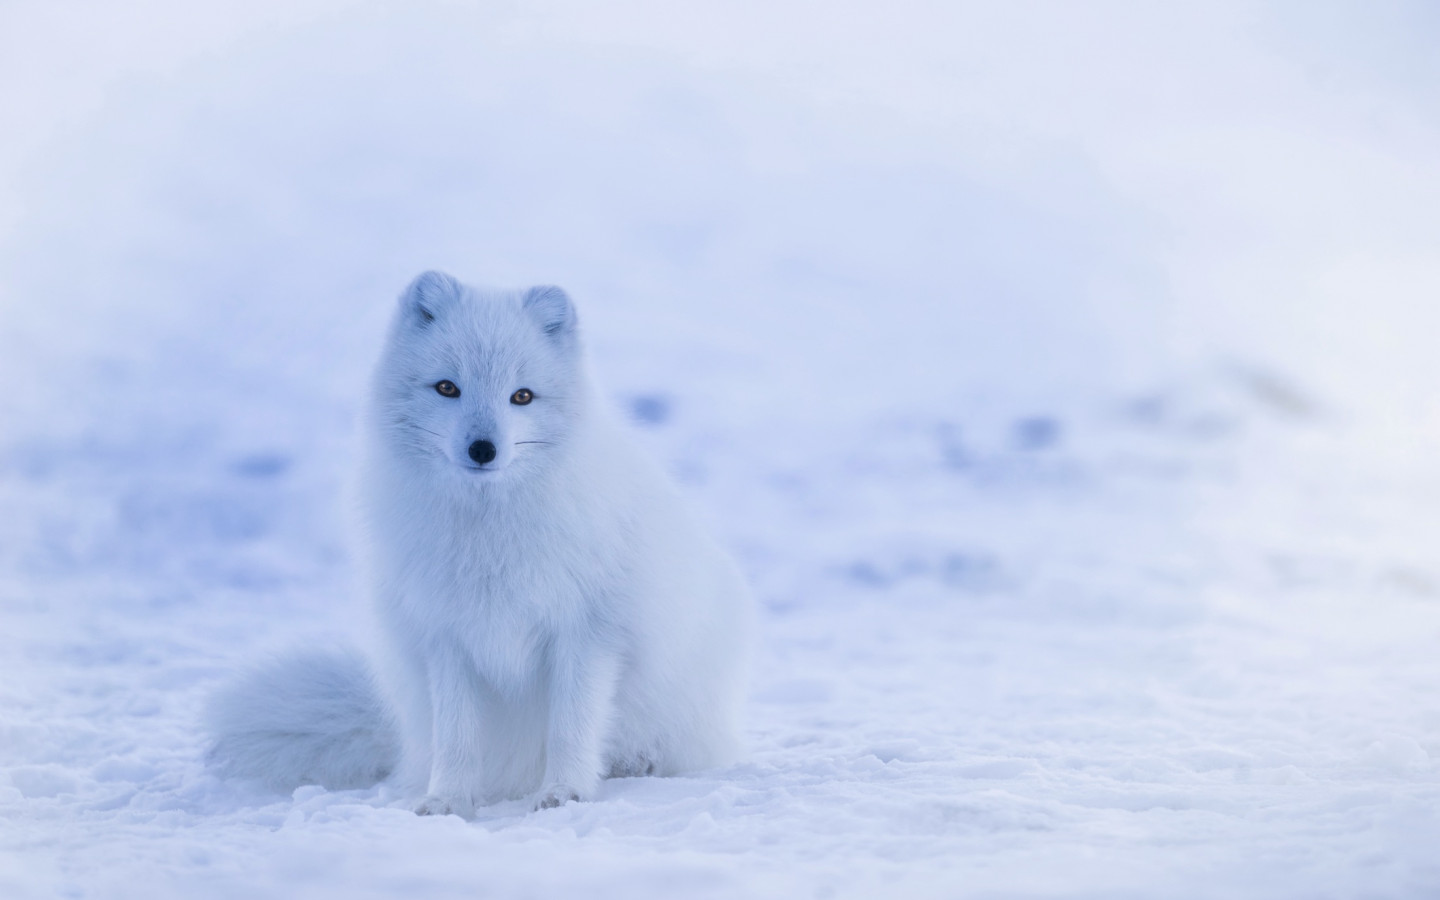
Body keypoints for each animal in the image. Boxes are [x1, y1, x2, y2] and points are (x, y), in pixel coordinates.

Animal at [211, 272, 760, 812]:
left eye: (522, 396)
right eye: (447, 387)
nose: (482, 449)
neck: (488, 533)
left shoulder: (587, 633)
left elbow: (571, 725)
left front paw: (565, 792)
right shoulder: (447, 636)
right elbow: (457, 735)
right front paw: (448, 800)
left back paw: (635, 763)